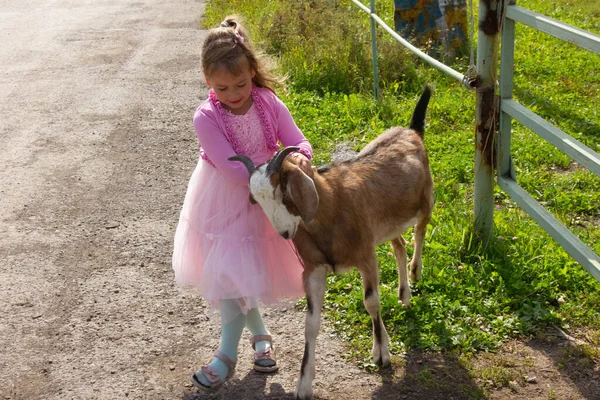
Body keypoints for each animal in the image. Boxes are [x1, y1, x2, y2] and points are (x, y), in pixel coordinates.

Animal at [230, 86, 432, 398]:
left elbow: (371, 301)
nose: (285, 233)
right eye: (258, 200)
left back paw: (415, 271)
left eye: (284, 192)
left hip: (426, 199)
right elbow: (311, 323)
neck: (332, 208)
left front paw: (381, 353)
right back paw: (403, 293)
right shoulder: (314, 269)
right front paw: (303, 383)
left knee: (420, 230)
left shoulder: (366, 256)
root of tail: (412, 132)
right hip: (385, 224)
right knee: (398, 243)